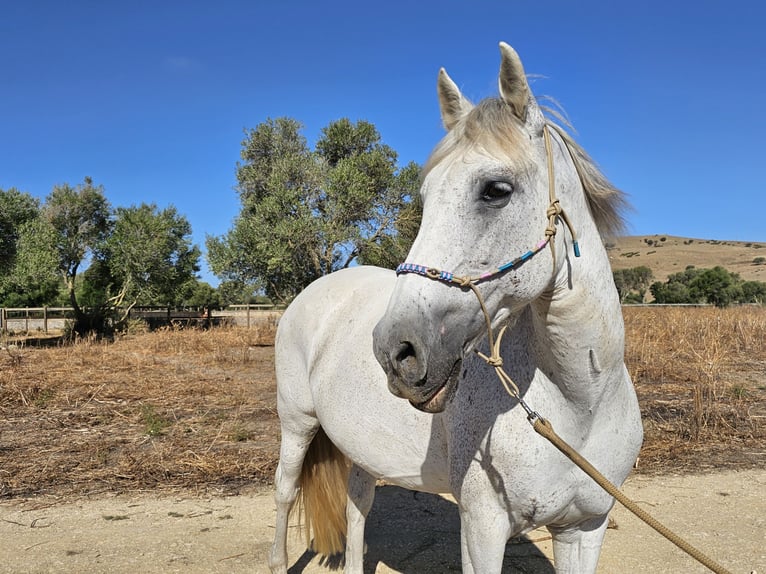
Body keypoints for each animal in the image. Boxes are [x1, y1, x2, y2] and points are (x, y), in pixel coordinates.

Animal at [268, 42, 640, 572]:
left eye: (496, 190)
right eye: (425, 197)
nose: (396, 351)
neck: (580, 403)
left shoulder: (585, 529)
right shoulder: (481, 528)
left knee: (358, 504)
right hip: (296, 422)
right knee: (283, 492)